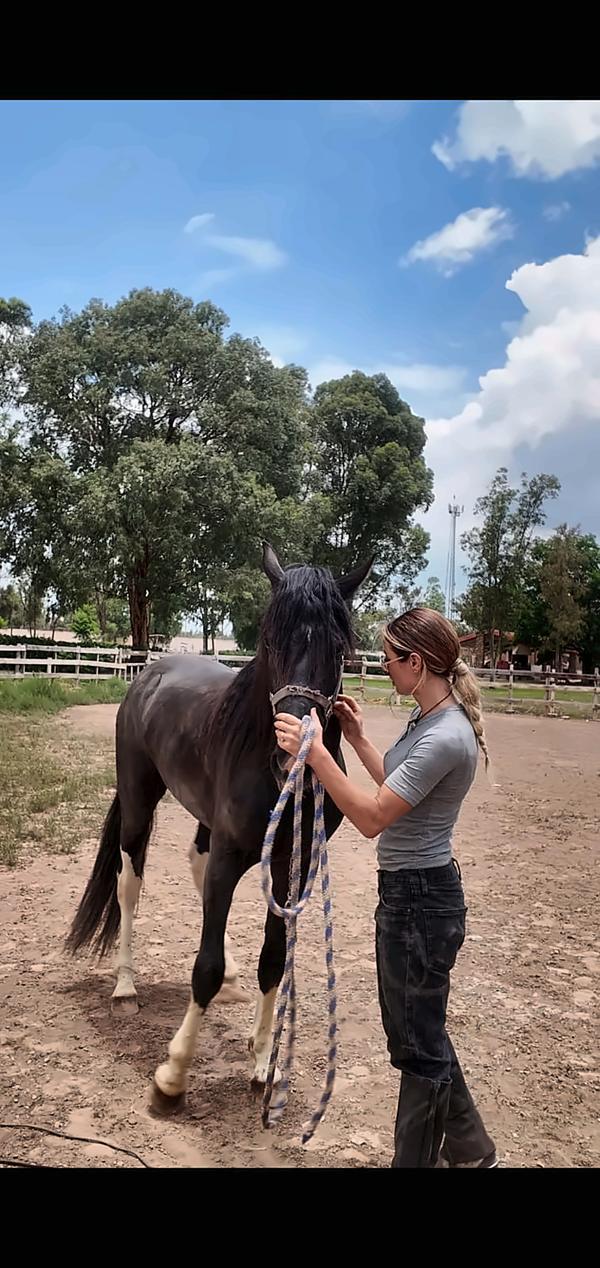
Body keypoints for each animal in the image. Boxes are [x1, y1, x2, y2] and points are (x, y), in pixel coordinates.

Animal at [66, 543, 372, 1113]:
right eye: (269, 639)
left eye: (340, 648)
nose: (292, 755)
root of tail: (150, 670)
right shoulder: (233, 856)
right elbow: (202, 967)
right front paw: (172, 1076)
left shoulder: (291, 866)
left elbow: (273, 960)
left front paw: (263, 1064)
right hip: (139, 805)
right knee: (128, 884)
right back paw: (125, 988)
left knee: (195, 861)